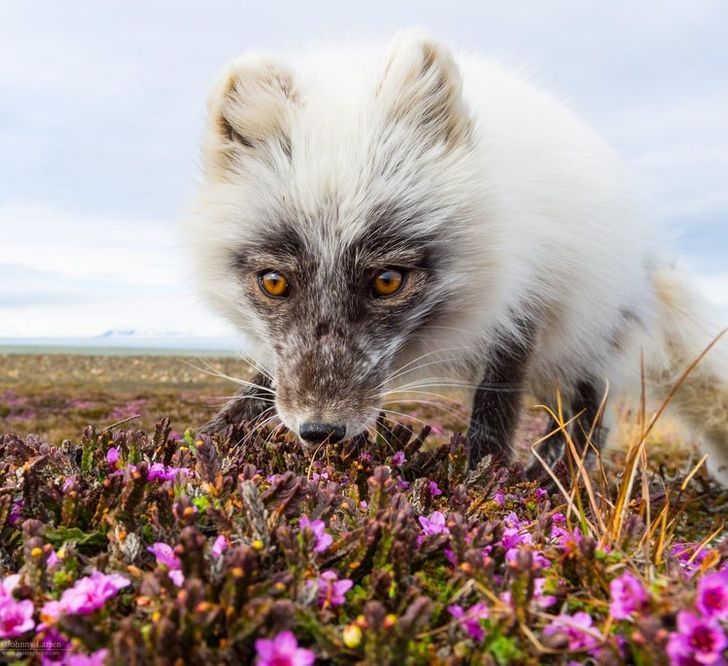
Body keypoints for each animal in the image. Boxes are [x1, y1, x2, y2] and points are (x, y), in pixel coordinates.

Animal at [186, 28, 728, 480]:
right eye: (274, 282)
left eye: (387, 280)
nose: (320, 432)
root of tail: (647, 254)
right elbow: (264, 382)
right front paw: (207, 446)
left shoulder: (523, 300)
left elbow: (495, 405)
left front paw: (485, 481)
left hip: (581, 334)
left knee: (592, 415)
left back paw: (554, 481)